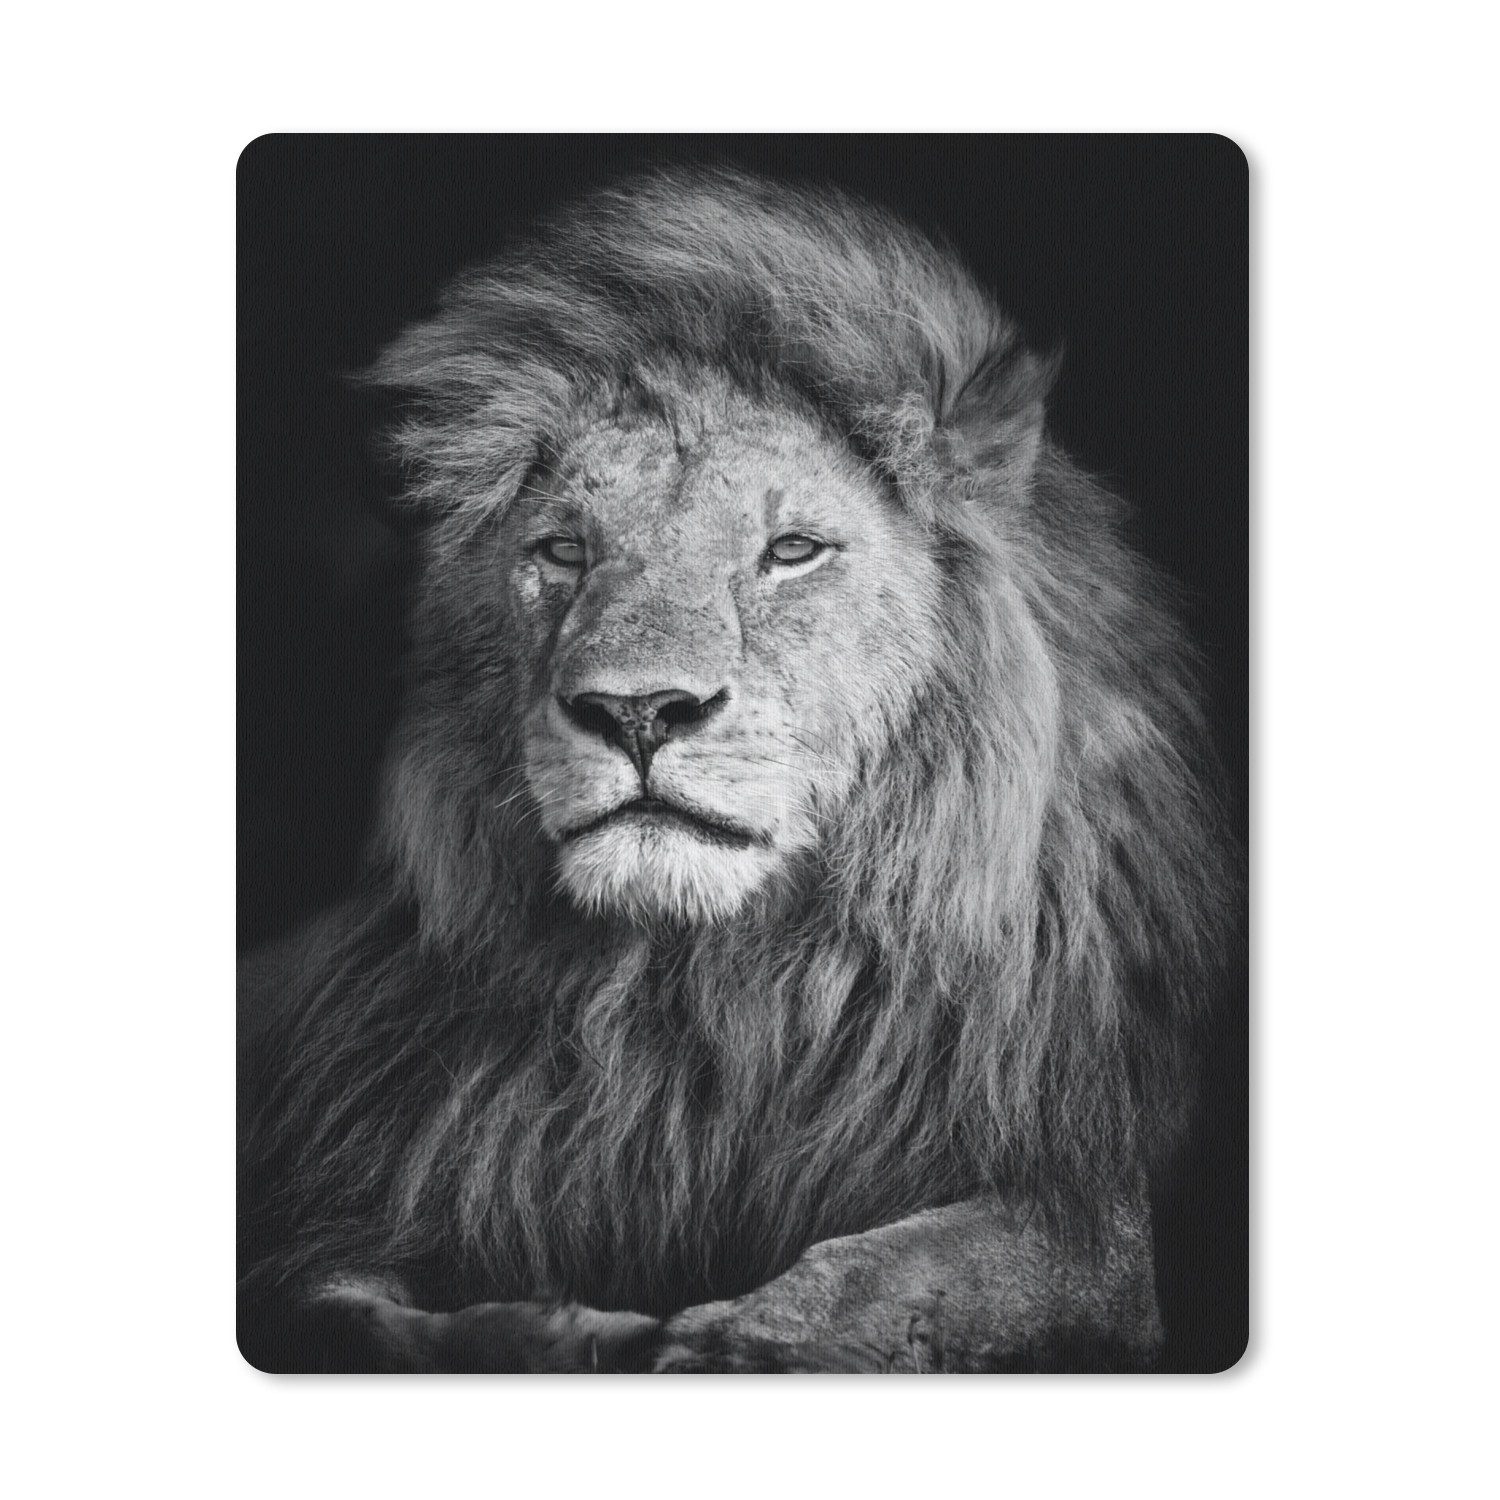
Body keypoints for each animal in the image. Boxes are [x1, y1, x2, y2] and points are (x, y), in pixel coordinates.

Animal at [238, 168, 1238, 1372]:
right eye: (563, 551)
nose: (636, 711)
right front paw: (571, 1335)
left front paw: (736, 1342)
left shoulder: (1089, 1210)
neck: (709, 997)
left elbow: (912, 1267)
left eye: (791, 551)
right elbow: (359, 1319)